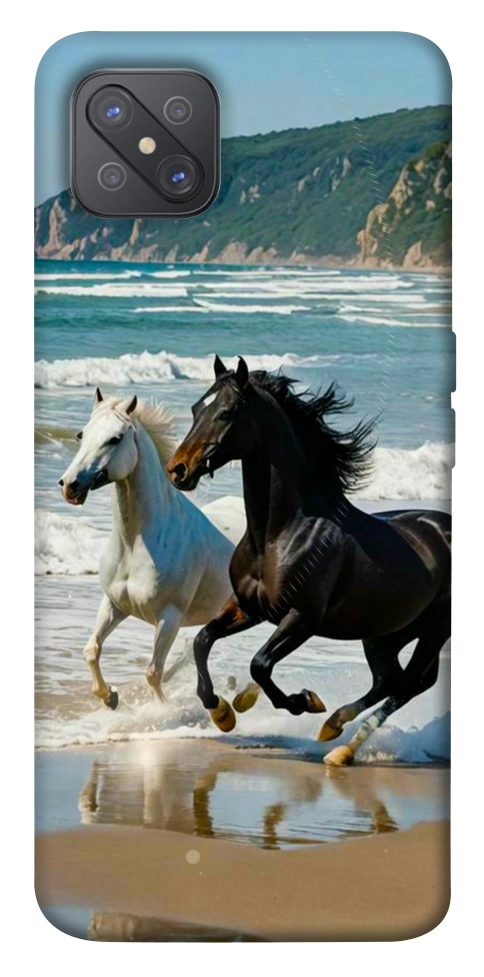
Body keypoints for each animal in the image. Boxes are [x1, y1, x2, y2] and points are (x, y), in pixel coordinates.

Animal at [59, 387, 234, 709]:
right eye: (81, 434)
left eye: (115, 438)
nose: (69, 485)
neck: (135, 544)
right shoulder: (114, 604)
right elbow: (91, 650)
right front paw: (110, 697)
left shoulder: (169, 618)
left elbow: (153, 672)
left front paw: (161, 711)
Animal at [166, 356, 451, 765]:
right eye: (195, 409)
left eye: (226, 413)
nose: (178, 469)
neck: (279, 534)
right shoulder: (248, 608)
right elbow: (203, 641)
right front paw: (222, 712)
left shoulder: (302, 618)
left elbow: (260, 664)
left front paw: (303, 702)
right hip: (385, 633)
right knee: (390, 679)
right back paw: (333, 728)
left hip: (433, 630)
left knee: (409, 683)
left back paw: (341, 746)